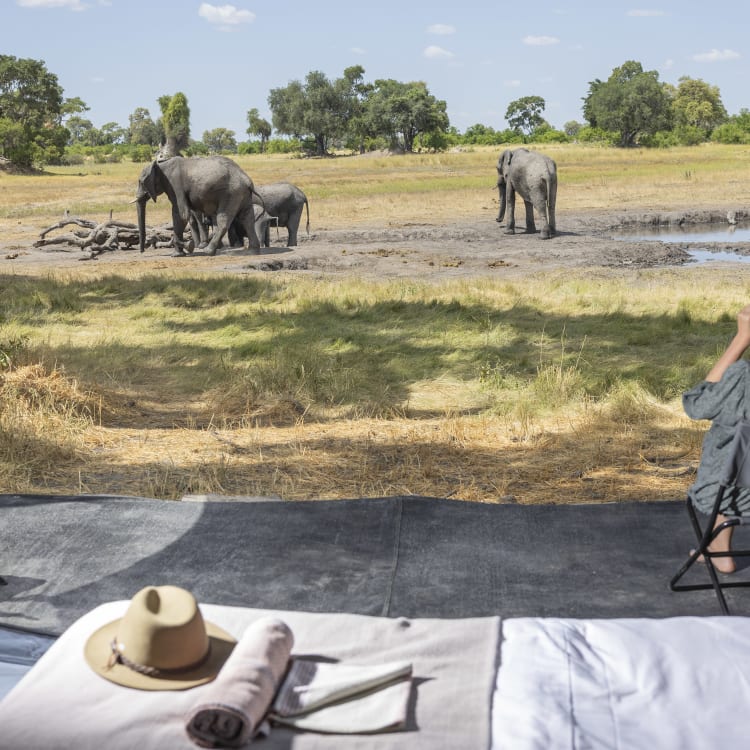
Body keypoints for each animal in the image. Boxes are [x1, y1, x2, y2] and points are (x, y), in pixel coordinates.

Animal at [136, 156, 264, 256]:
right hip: (242, 194)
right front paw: (180, 253)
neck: (160, 165)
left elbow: (182, 215)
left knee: (224, 219)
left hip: (232, 193)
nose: (142, 251)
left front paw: (185, 249)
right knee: (247, 218)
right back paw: (252, 252)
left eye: (141, 182)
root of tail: (247, 181)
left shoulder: (175, 186)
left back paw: (208, 251)